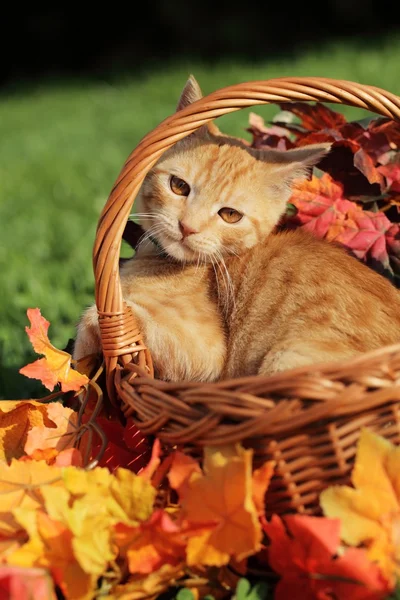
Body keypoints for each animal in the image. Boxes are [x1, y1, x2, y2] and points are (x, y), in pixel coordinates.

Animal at [73, 76, 400, 380]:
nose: (187, 227)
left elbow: (106, 323)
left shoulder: (205, 353)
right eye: (178, 186)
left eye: (230, 215)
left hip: (286, 360)